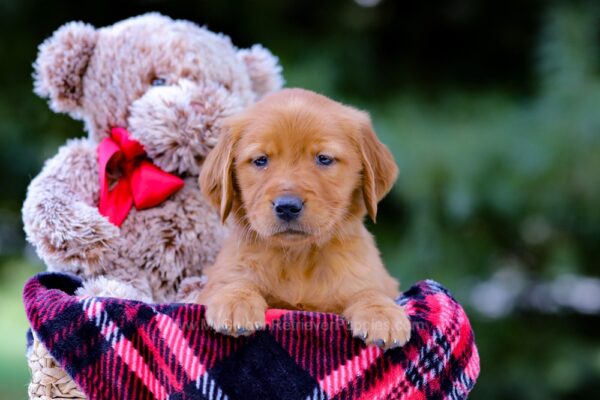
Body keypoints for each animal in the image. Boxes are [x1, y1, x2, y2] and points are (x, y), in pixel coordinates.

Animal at [199, 88, 410, 350]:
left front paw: (381, 314)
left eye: (324, 158)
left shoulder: (373, 279)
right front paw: (234, 301)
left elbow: (369, 290)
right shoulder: (217, 280)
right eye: (260, 160)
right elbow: (235, 281)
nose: (287, 207)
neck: (298, 257)